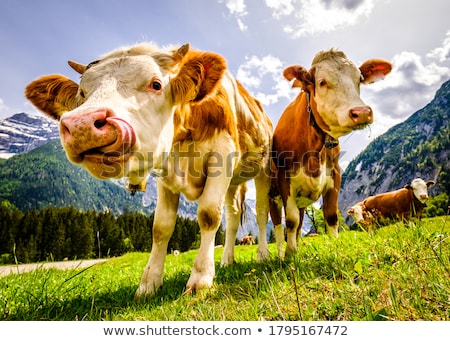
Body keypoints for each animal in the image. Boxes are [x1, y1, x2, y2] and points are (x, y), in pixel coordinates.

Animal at [25, 43, 274, 298]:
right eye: (82, 93)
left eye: (156, 84)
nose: (81, 125)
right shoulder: (165, 173)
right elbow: (160, 227)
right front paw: (148, 284)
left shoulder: (223, 156)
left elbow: (208, 216)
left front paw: (201, 279)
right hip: (233, 183)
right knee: (233, 217)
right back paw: (227, 260)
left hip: (264, 168)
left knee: (261, 213)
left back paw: (263, 255)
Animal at [268, 48, 392, 258]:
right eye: (322, 82)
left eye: (359, 79)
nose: (362, 112)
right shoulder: (285, 180)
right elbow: (290, 221)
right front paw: (290, 255)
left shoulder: (334, 174)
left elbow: (331, 217)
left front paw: (335, 249)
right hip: (270, 196)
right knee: (277, 225)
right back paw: (280, 254)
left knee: (300, 224)